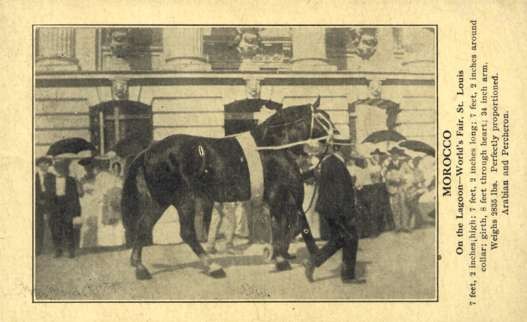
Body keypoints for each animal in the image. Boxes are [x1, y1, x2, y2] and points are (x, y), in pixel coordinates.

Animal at [122, 98, 336, 280]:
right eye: (322, 117)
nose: (336, 135)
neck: (272, 146)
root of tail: (149, 150)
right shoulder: (280, 194)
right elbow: (292, 226)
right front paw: (281, 256)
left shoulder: (281, 197)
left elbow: (291, 226)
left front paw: (281, 254)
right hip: (184, 199)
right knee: (187, 233)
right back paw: (212, 266)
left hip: (160, 200)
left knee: (144, 225)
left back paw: (140, 267)